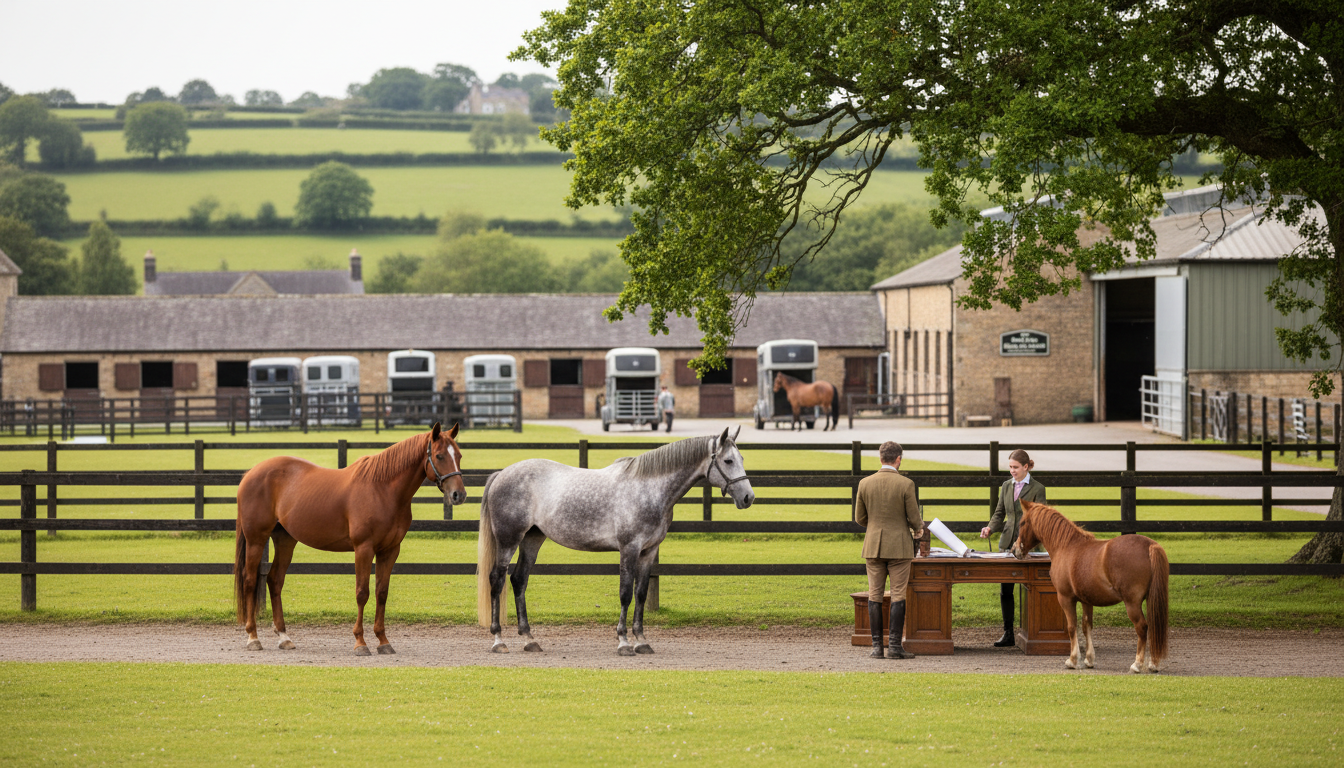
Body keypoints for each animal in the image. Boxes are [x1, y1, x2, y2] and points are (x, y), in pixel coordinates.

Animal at [234, 422, 466, 655]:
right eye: (439, 456)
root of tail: (251, 473)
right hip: (256, 539)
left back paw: (284, 637)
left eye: (459, 455)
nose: (459, 495)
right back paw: (253, 637)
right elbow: (362, 593)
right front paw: (360, 642)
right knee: (250, 580)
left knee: (275, 580)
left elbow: (381, 592)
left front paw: (383, 641)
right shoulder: (363, 548)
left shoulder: (390, 550)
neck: (382, 490)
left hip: (285, 540)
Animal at [476, 427, 754, 655]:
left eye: (741, 459)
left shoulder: (649, 551)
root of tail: (502, 474)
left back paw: (529, 639)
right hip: (509, 540)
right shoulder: (629, 549)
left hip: (533, 539)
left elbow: (641, 594)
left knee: (519, 581)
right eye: (728, 460)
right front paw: (623, 642)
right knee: (497, 580)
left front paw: (642, 641)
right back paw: (499, 640)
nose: (748, 497)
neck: (649, 488)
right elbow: (625, 593)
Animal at [1013, 500, 1170, 673]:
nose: (1014, 550)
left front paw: (1073, 660)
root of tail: (1150, 545)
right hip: (1151, 599)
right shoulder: (1086, 601)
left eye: (1022, 523)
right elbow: (1086, 626)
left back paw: (1137, 664)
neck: (1066, 546)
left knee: (1142, 627)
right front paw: (1089, 659)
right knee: (1155, 627)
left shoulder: (1066, 598)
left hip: (1132, 603)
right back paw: (1153, 664)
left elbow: (1071, 627)